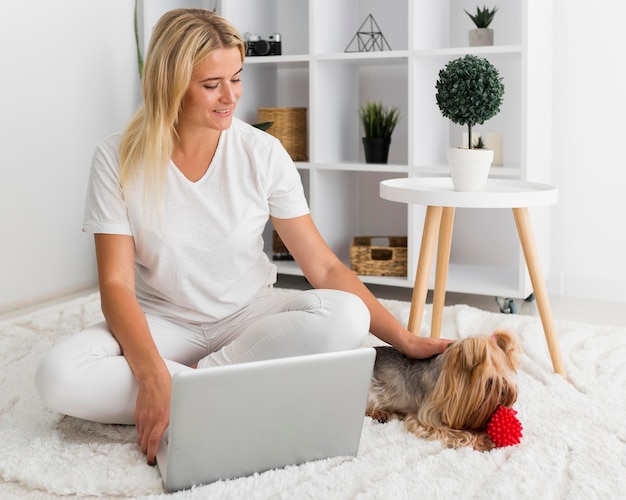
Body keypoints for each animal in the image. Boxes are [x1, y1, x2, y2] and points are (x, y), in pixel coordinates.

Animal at [364, 330, 520, 452]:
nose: (505, 392)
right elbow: (459, 434)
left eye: (505, 376)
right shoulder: (427, 419)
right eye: (490, 380)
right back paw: (379, 413)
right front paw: (484, 441)